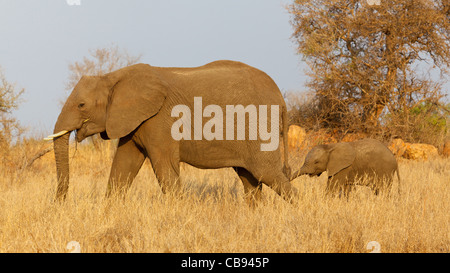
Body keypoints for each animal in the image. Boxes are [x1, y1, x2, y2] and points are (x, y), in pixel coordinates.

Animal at [46, 60, 298, 203]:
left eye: (81, 105)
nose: (60, 204)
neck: (112, 76)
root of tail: (280, 97)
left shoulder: (159, 119)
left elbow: (165, 167)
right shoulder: (134, 120)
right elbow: (123, 166)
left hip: (260, 126)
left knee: (267, 173)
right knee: (250, 180)